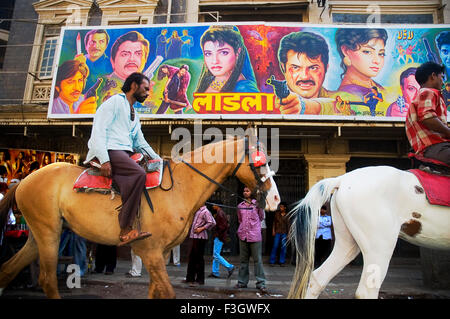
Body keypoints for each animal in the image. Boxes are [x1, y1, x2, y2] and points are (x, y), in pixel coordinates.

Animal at [0, 137, 280, 300]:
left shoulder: (160, 254)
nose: (276, 199)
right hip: (49, 233)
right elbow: (166, 293)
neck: (180, 186)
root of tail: (25, 180)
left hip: (39, 235)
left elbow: (155, 292)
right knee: (47, 280)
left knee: (9, 269)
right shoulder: (151, 251)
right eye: (260, 162)